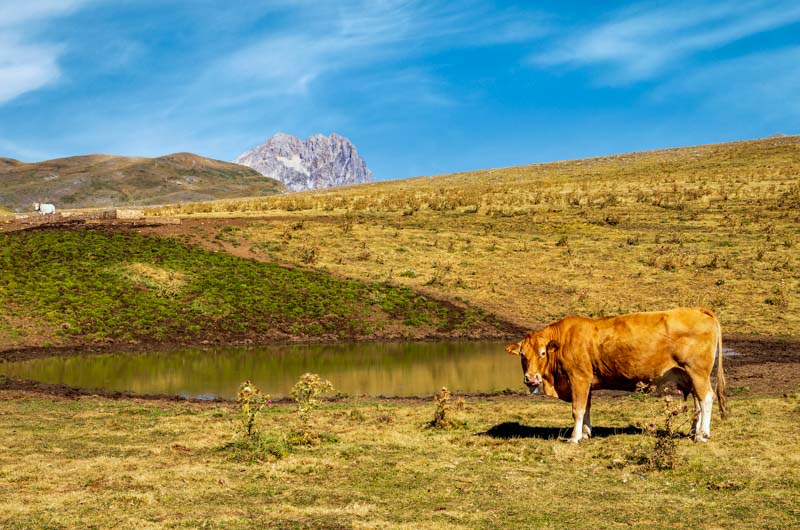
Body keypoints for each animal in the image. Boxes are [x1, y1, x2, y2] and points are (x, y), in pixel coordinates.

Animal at [510, 306, 728, 442]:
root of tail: (697, 310)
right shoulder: (587, 382)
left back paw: (702, 435)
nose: (531, 378)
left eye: (543, 353)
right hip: (689, 375)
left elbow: (577, 409)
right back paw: (694, 432)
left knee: (706, 398)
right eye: (522, 355)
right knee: (697, 403)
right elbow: (587, 407)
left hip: (697, 372)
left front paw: (574, 437)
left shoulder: (578, 378)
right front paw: (586, 433)